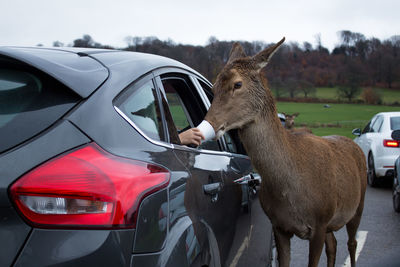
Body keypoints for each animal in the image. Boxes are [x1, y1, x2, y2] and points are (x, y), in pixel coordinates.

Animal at [203, 38, 366, 267]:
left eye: (237, 84)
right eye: (214, 85)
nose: (210, 123)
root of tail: (354, 143)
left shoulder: (320, 221)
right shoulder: (279, 226)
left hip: (358, 204)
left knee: (352, 243)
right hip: (331, 223)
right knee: (333, 244)